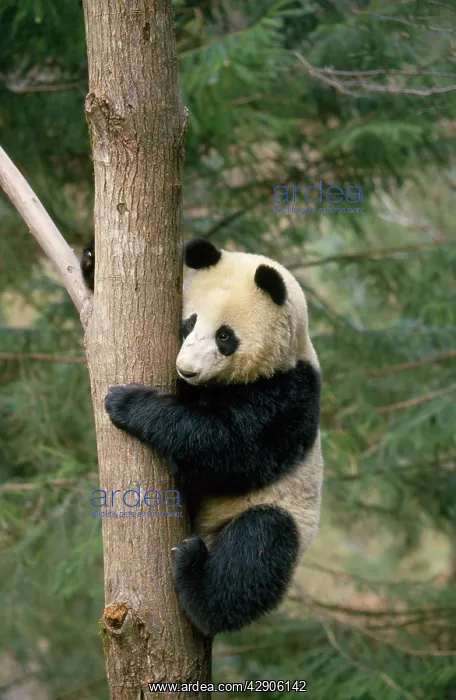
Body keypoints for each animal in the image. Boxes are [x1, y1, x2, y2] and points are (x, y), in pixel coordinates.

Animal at [81, 238, 323, 637]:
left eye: (225, 336)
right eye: (190, 322)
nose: (187, 369)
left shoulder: (288, 394)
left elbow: (231, 448)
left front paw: (127, 403)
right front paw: (91, 260)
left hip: (282, 516)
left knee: (257, 549)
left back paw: (197, 581)